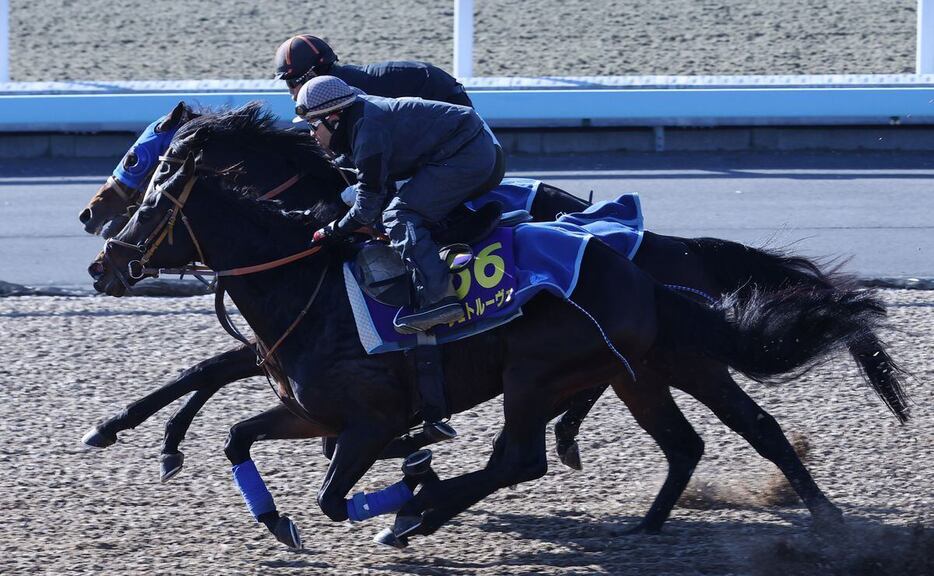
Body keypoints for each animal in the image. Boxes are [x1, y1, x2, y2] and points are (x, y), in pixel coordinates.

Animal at [89, 127, 900, 548]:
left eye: (150, 193)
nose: (102, 258)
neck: (309, 281)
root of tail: (658, 273)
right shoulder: (311, 408)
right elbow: (232, 423)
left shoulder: (367, 415)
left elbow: (330, 489)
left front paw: (408, 480)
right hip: (642, 373)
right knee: (694, 441)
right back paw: (652, 521)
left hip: (543, 374)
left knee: (522, 457)